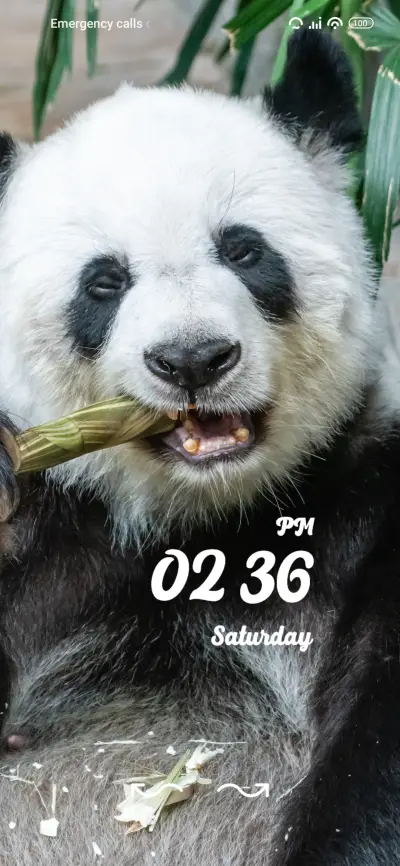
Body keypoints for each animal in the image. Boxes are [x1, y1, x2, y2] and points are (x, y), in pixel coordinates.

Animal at [0, 24, 399, 866]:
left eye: (243, 251)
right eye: (105, 282)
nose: (192, 359)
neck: (206, 519)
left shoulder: (369, 491)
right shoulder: (63, 540)